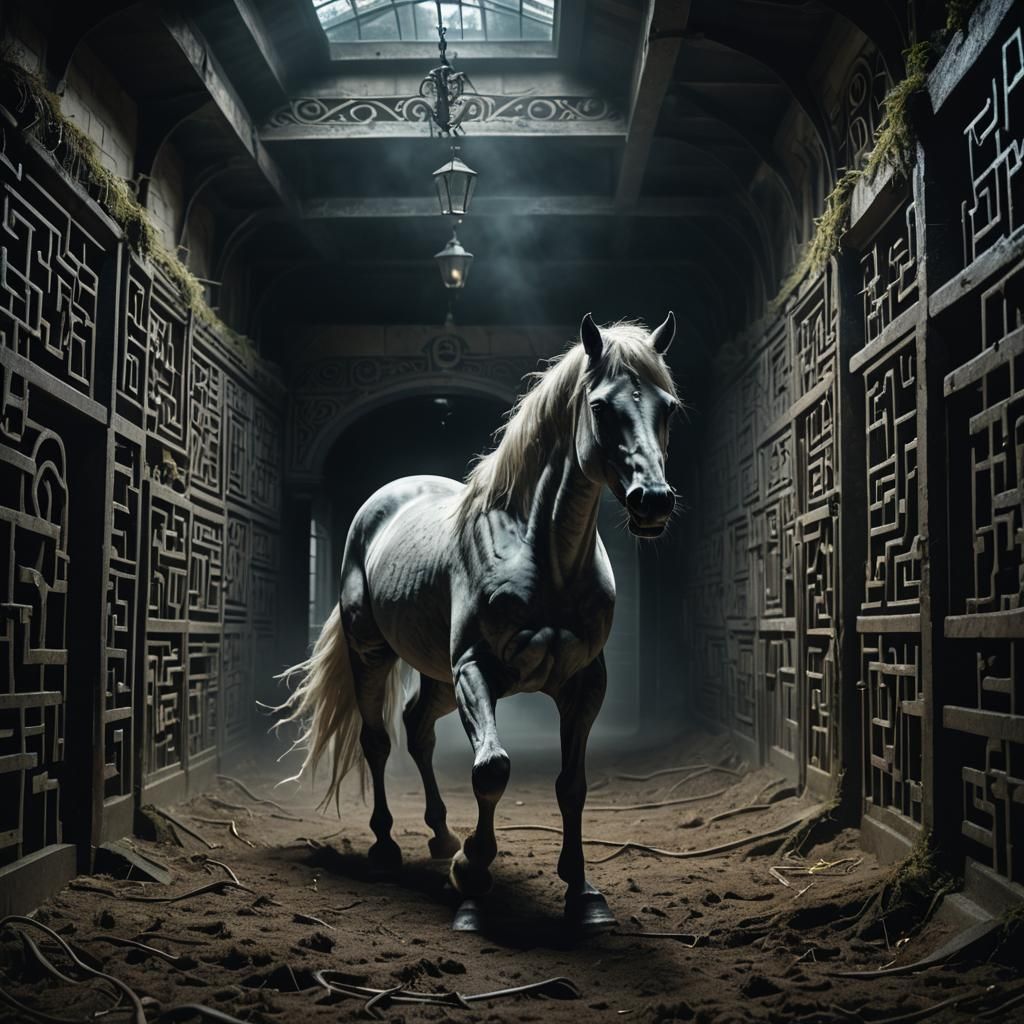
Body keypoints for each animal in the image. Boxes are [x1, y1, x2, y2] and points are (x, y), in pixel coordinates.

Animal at [278, 312, 680, 931]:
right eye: (600, 406)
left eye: (668, 406)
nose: (652, 501)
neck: (543, 555)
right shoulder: (476, 672)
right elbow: (491, 768)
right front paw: (472, 879)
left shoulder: (585, 684)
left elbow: (573, 785)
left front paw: (583, 894)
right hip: (374, 654)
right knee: (378, 740)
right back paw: (386, 850)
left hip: (438, 679)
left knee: (418, 728)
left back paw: (441, 835)